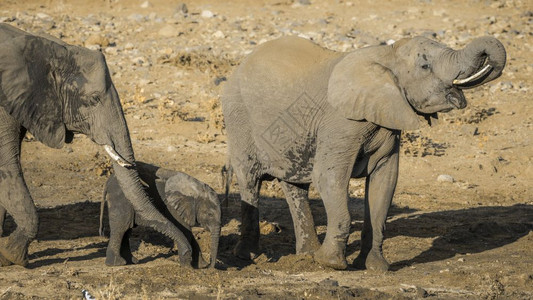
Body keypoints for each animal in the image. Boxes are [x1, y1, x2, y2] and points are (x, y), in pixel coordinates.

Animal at [222, 35, 504, 272]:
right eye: (425, 66)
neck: (387, 55)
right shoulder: (341, 122)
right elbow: (328, 177)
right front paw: (332, 264)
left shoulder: (388, 122)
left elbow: (385, 182)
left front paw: (376, 268)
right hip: (238, 119)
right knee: (250, 180)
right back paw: (248, 256)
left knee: (295, 186)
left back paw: (306, 255)